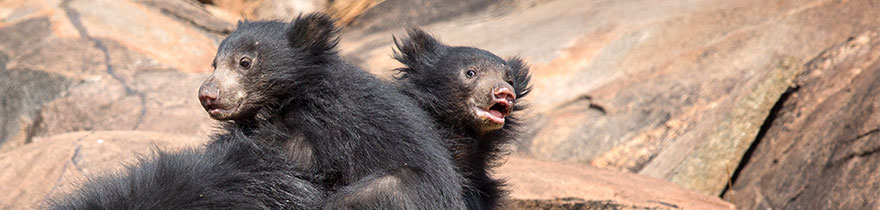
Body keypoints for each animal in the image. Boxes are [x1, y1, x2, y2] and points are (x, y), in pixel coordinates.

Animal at [196, 13, 464, 209]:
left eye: (244, 62)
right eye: (214, 64)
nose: (207, 96)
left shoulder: (325, 123)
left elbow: (297, 154)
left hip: (400, 187)